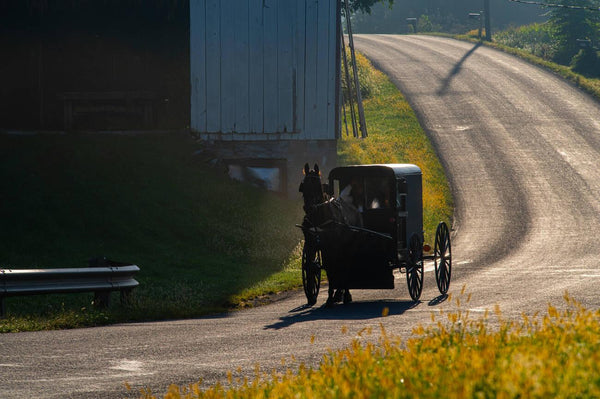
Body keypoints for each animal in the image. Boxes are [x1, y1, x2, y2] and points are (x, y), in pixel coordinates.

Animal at [298, 162, 358, 306]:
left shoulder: (333, 247)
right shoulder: (313, 245)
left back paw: (345, 294)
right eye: (304, 186)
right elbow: (313, 267)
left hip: (347, 247)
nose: (309, 208)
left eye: (318, 186)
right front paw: (315, 296)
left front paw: (333, 296)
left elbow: (334, 268)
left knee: (345, 265)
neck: (318, 220)